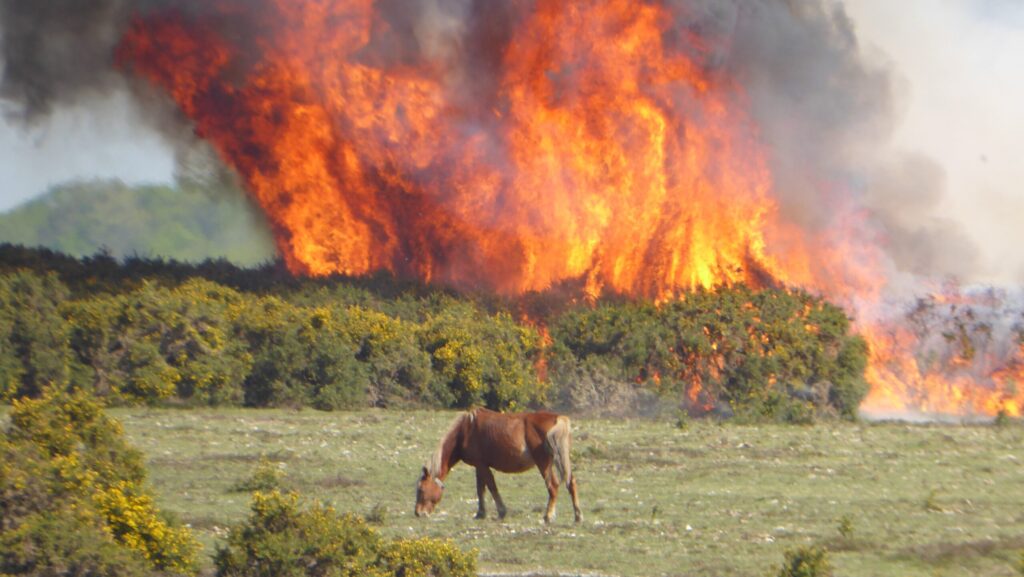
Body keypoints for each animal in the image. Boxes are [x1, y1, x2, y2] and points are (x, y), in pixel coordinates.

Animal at [414, 407, 582, 524]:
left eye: (421, 489)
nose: (418, 513)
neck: (466, 430)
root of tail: (558, 418)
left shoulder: (482, 465)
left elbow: (490, 487)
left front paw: (501, 511)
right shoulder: (479, 467)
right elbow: (480, 489)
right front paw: (480, 513)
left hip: (544, 463)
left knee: (553, 486)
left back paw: (548, 516)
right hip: (560, 460)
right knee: (571, 482)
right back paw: (577, 516)